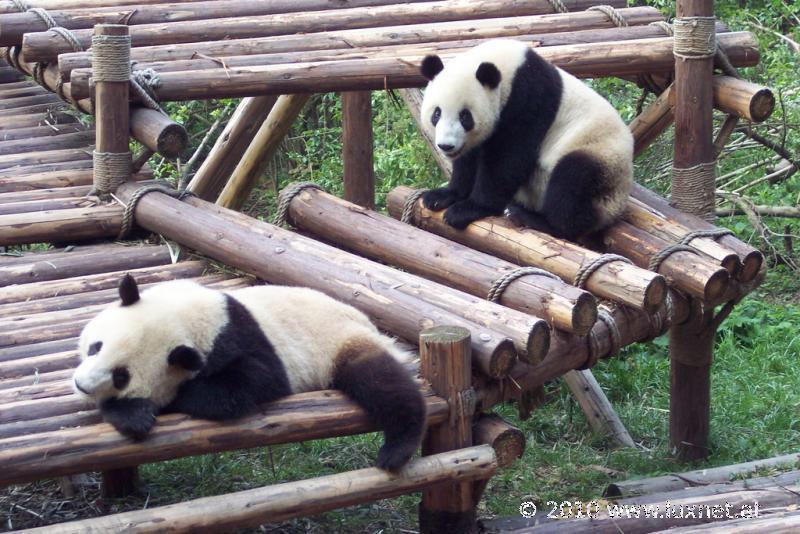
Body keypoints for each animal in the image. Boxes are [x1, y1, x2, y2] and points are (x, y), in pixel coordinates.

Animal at [72, 276, 428, 474]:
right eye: (95, 347)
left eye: (122, 375)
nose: (81, 385)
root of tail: (370, 325)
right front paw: (131, 412)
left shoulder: (242, 343)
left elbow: (252, 384)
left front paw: (151, 405)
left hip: (341, 343)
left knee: (383, 382)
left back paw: (397, 448)